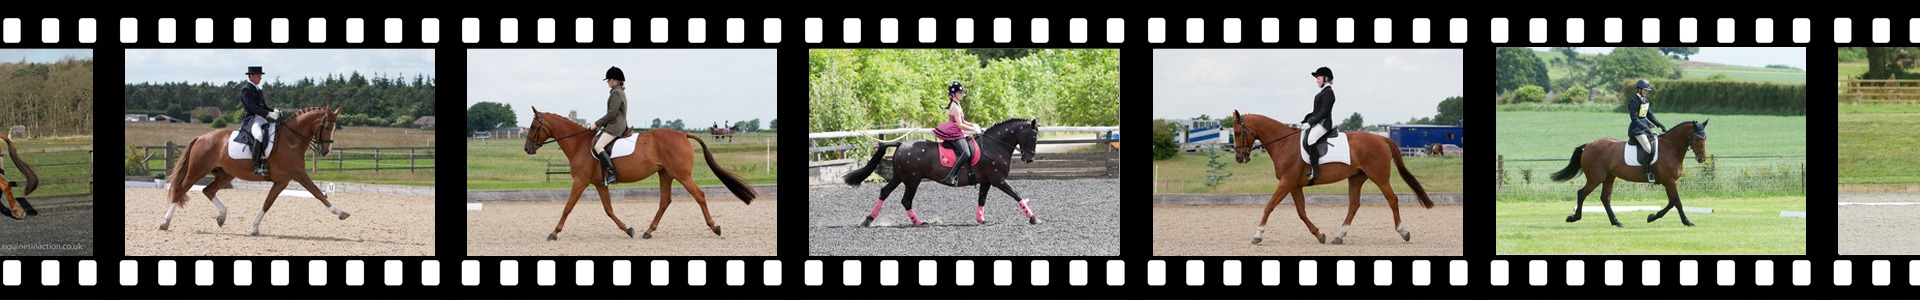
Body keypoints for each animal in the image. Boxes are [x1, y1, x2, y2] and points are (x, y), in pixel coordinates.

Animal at [162, 106, 349, 235]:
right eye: (326, 127)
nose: (326, 151)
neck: (291, 140)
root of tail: (201, 137)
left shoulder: (282, 181)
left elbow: (268, 202)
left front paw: (254, 228)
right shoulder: (298, 173)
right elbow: (317, 192)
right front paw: (340, 213)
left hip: (225, 175)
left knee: (208, 190)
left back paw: (222, 217)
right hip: (197, 170)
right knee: (180, 190)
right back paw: (165, 222)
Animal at [533, 106, 764, 240]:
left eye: (534, 126)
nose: (528, 148)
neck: (579, 144)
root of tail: (683, 134)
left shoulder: (580, 181)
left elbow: (568, 207)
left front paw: (554, 233)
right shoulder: (599, 184)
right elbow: (608, 210)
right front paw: (628, 229)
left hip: (681, 175)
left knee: (699, 195)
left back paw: (715, 227)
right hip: (665, 174)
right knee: (664, 201)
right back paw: (648, 231)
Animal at [844, 118, 1044, 225]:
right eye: (1033, 136)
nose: (1029, 158)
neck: (994, 146)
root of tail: (901, 144)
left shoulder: (987, 180)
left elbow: (982, 199)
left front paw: (980, 219)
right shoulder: (998, 180)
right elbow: (1016, 194)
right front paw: (1033, 218)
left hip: (900, 177)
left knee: (884, 192)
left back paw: (868, 220)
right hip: (912, 180)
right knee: (906, 200)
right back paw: (919, 223)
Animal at [1228, 111, 1428, 245]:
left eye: (1237, 132)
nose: (1239, 158)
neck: (1283, 143)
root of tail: (1381, 139)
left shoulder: (1286, 182)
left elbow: (1269, 206)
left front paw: (1257, 235)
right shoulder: (1294, 185)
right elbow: (1301, 212)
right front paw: (1319, 235)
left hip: (1379, 177)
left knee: (1392, 200)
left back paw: (1403, 232)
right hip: (1356, 178)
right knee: (1354, 205)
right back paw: (1339, 236)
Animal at [1543, 119, 1712, 226]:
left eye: (1705, 137)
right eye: (1697, 139)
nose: (1702, 159)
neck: (1670, 148)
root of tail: (1590, 145)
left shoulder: (1668, 182)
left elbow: (1671, 202)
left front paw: (1651, 217)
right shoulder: (1669, 181)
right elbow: (1677, 202)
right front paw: (1687, 222)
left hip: (1609, 177)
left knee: (1605, 198)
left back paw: (1616, 222)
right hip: (1596, 178)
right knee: (1582, 193)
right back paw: (1574, 218)